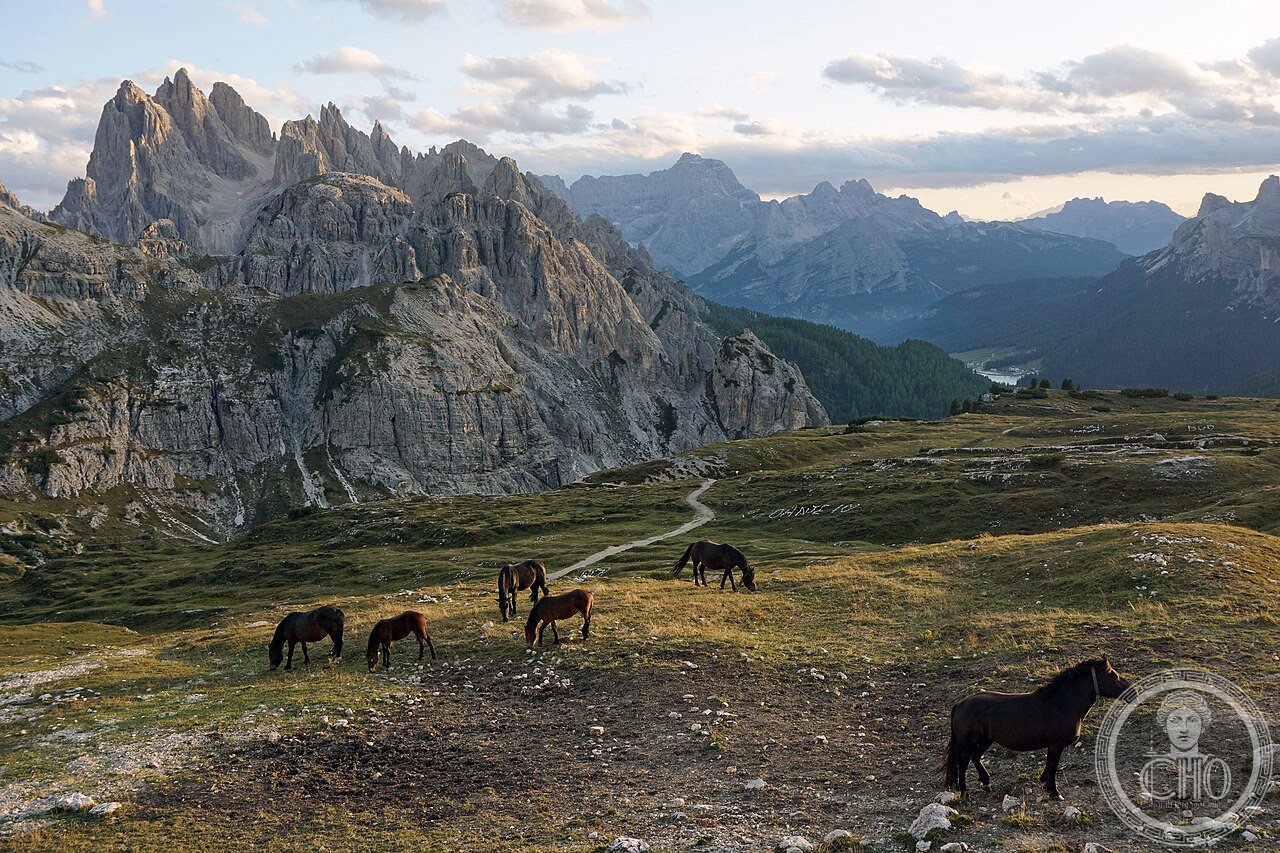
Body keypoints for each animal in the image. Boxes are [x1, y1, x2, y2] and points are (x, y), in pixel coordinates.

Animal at [942, 657, 1133, 799]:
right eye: (1113, 675)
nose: (1132, 692)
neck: (1064, 703)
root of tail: (960, 704)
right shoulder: (1056, 744)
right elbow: (1053, 765)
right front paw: (1054, 791)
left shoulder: (1053, 745)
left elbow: (1049, 766)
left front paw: (1045, 783)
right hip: (967, 744)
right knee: (963, 765)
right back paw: (965, 793)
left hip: (985, 741)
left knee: (975, 758)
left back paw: (986, 783)